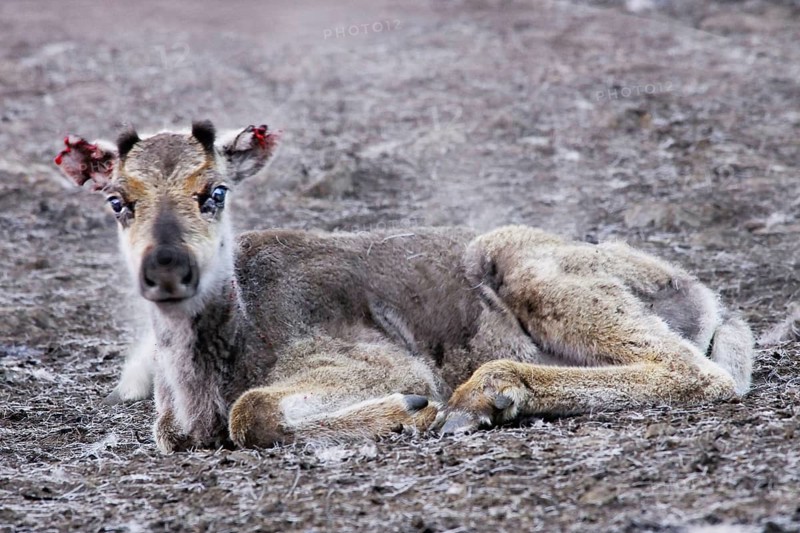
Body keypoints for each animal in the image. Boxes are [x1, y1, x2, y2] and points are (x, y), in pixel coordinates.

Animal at [54, 121, 754, 453]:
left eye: (215, 191)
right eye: (117, 201)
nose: (167, 268)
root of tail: (706, 300)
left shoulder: (384, 362)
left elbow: (250, 410)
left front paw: (412, 410)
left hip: (529, 267)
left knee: (695, 371)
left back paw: (486, 394)